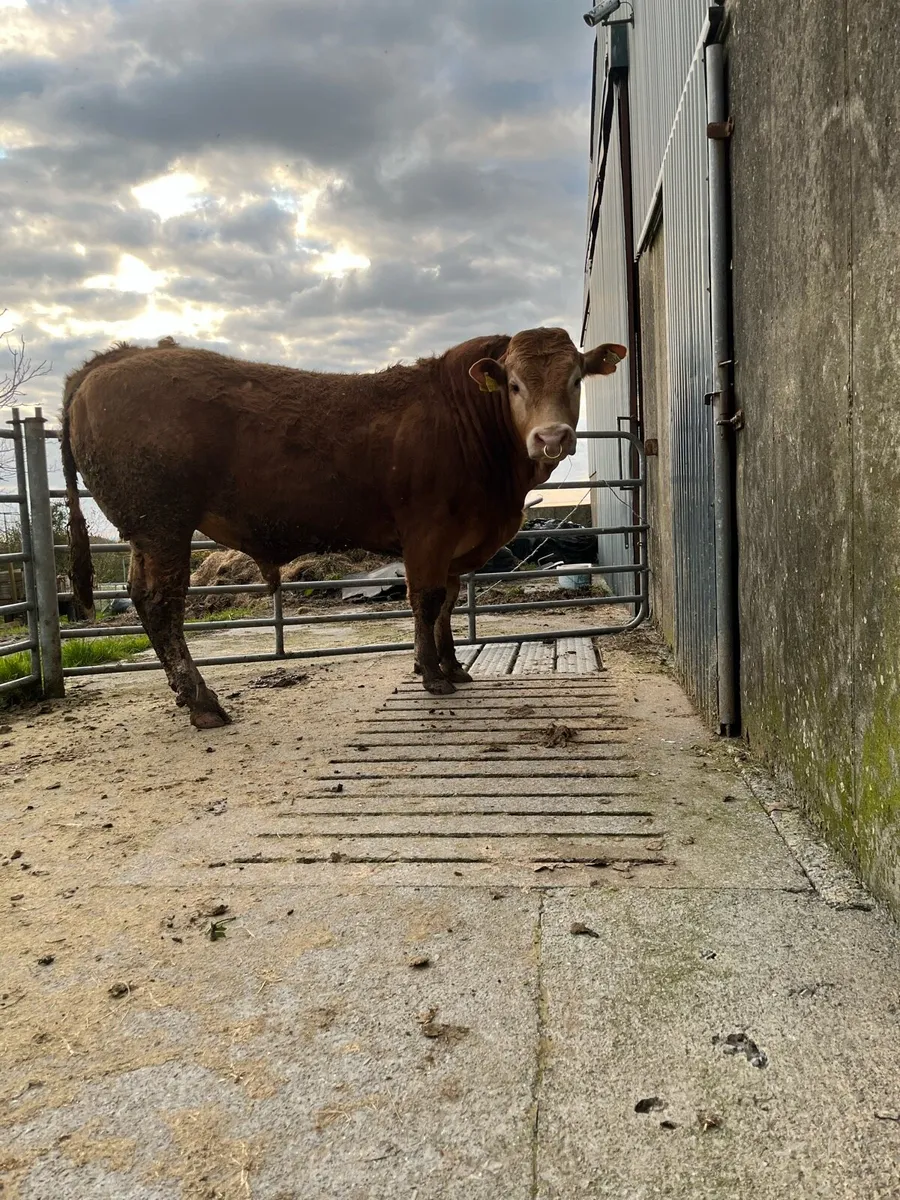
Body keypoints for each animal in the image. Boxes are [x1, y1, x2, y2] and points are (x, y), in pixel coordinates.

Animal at [62, 328, 626, 728]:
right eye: (513, 384)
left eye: (576, 379)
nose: (551, 437)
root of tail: (116, 357)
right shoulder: (428, 532)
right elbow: (425, 601)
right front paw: (433, 675)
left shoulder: (455, 543)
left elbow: (446, 601)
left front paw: (451, 666)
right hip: (163, 525)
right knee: (161, 603)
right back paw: (203, 702)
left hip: (147, 534)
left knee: (142, 597)